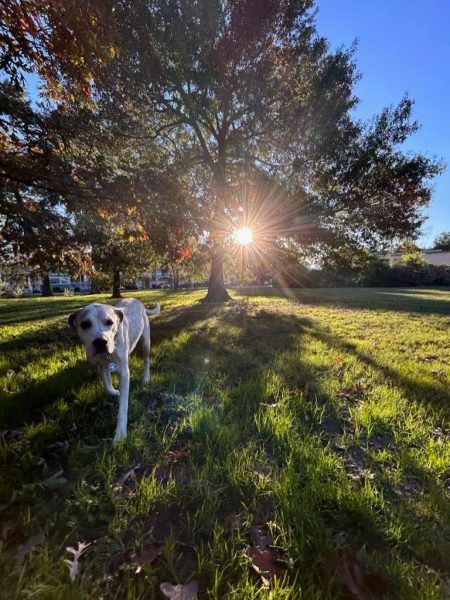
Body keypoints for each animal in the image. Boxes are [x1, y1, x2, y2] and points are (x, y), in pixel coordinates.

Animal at [68, 298, 160, 440]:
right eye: (85, 324)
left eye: (109, 322)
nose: (100, 342)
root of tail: (136, 300)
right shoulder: (101, 365)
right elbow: (108, 386)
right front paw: (116, 392)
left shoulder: (124, 373)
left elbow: (123, 406)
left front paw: (120, 433)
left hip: (146, 342)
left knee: (147, 360)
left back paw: (146, 377)